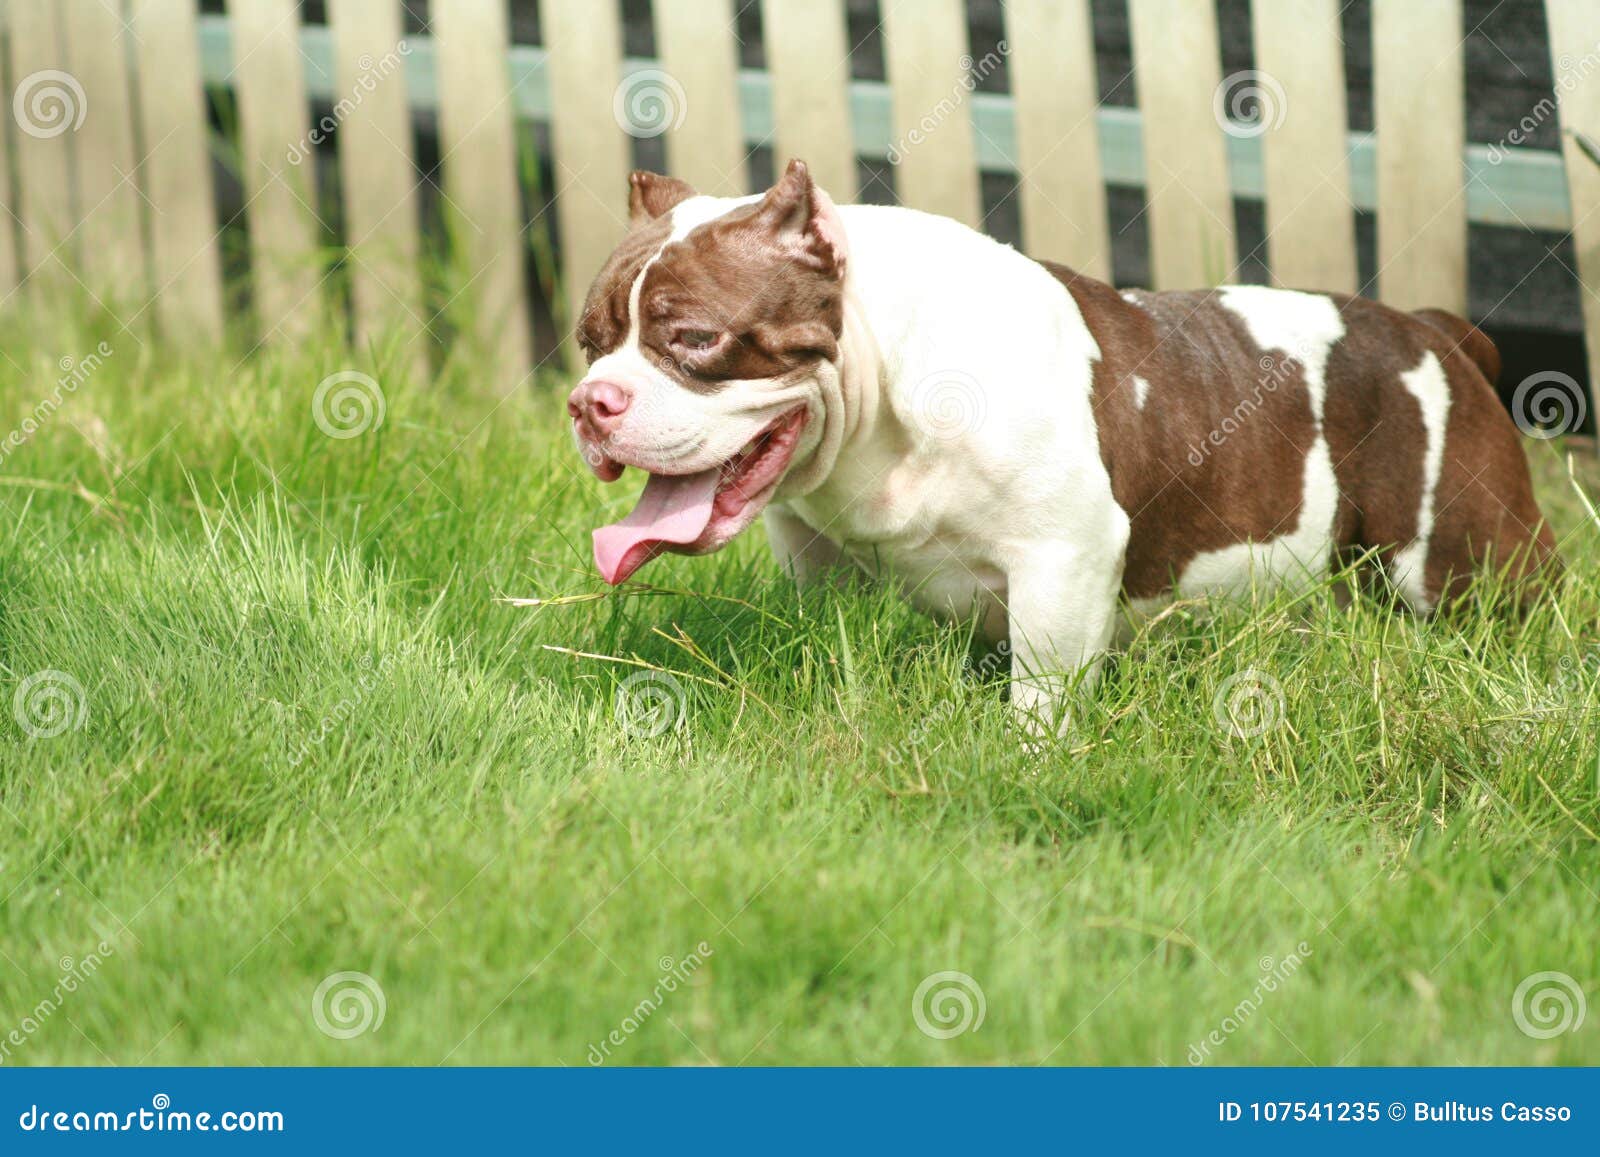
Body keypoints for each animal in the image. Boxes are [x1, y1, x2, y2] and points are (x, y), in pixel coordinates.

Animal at [569, 158, 1555, 729]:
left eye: (695, 339)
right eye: (587, 342)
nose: (589, 402)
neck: (884, 389)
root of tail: (1438, 331)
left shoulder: (1062, 554)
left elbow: (1042, 683)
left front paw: (1028, 754)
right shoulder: (817, 557)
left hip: (1459, 558)